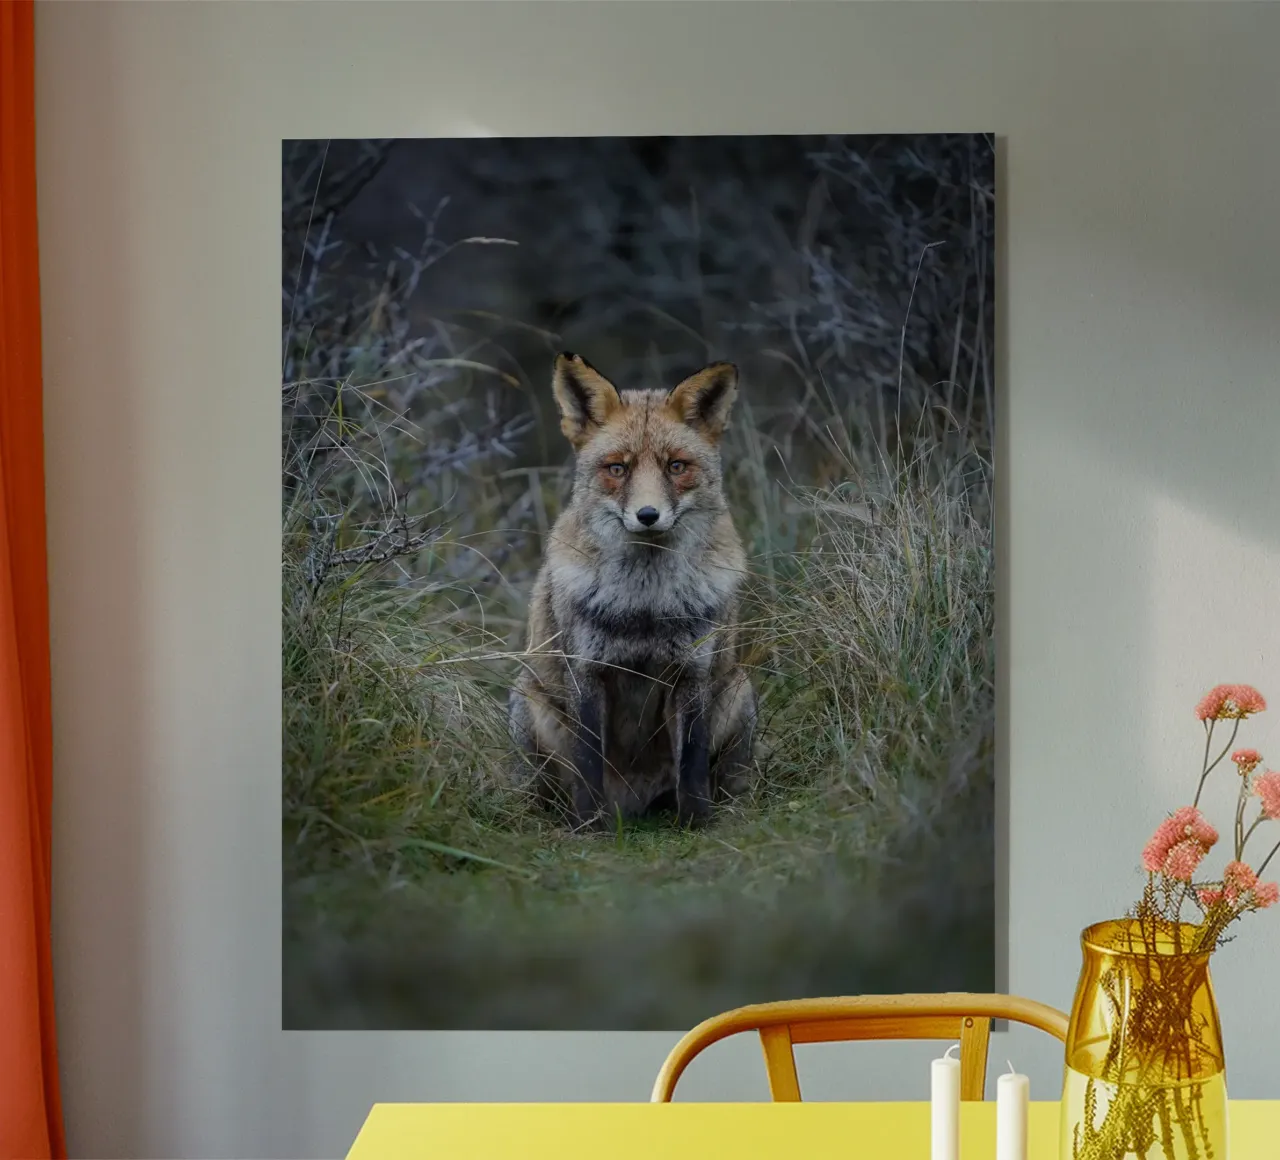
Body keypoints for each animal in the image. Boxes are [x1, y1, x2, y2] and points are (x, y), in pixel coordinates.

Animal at [508, 352, 756, 829]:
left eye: (676, 466)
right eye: (617, 469)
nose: (647, 515)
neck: (645, 605)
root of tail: (635, 804)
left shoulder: (692, 671)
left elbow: (692, 764)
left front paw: (696, 824)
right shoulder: (586, 671)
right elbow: (588, 764)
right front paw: (590, 829)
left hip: (739, 688)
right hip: (528, 703)